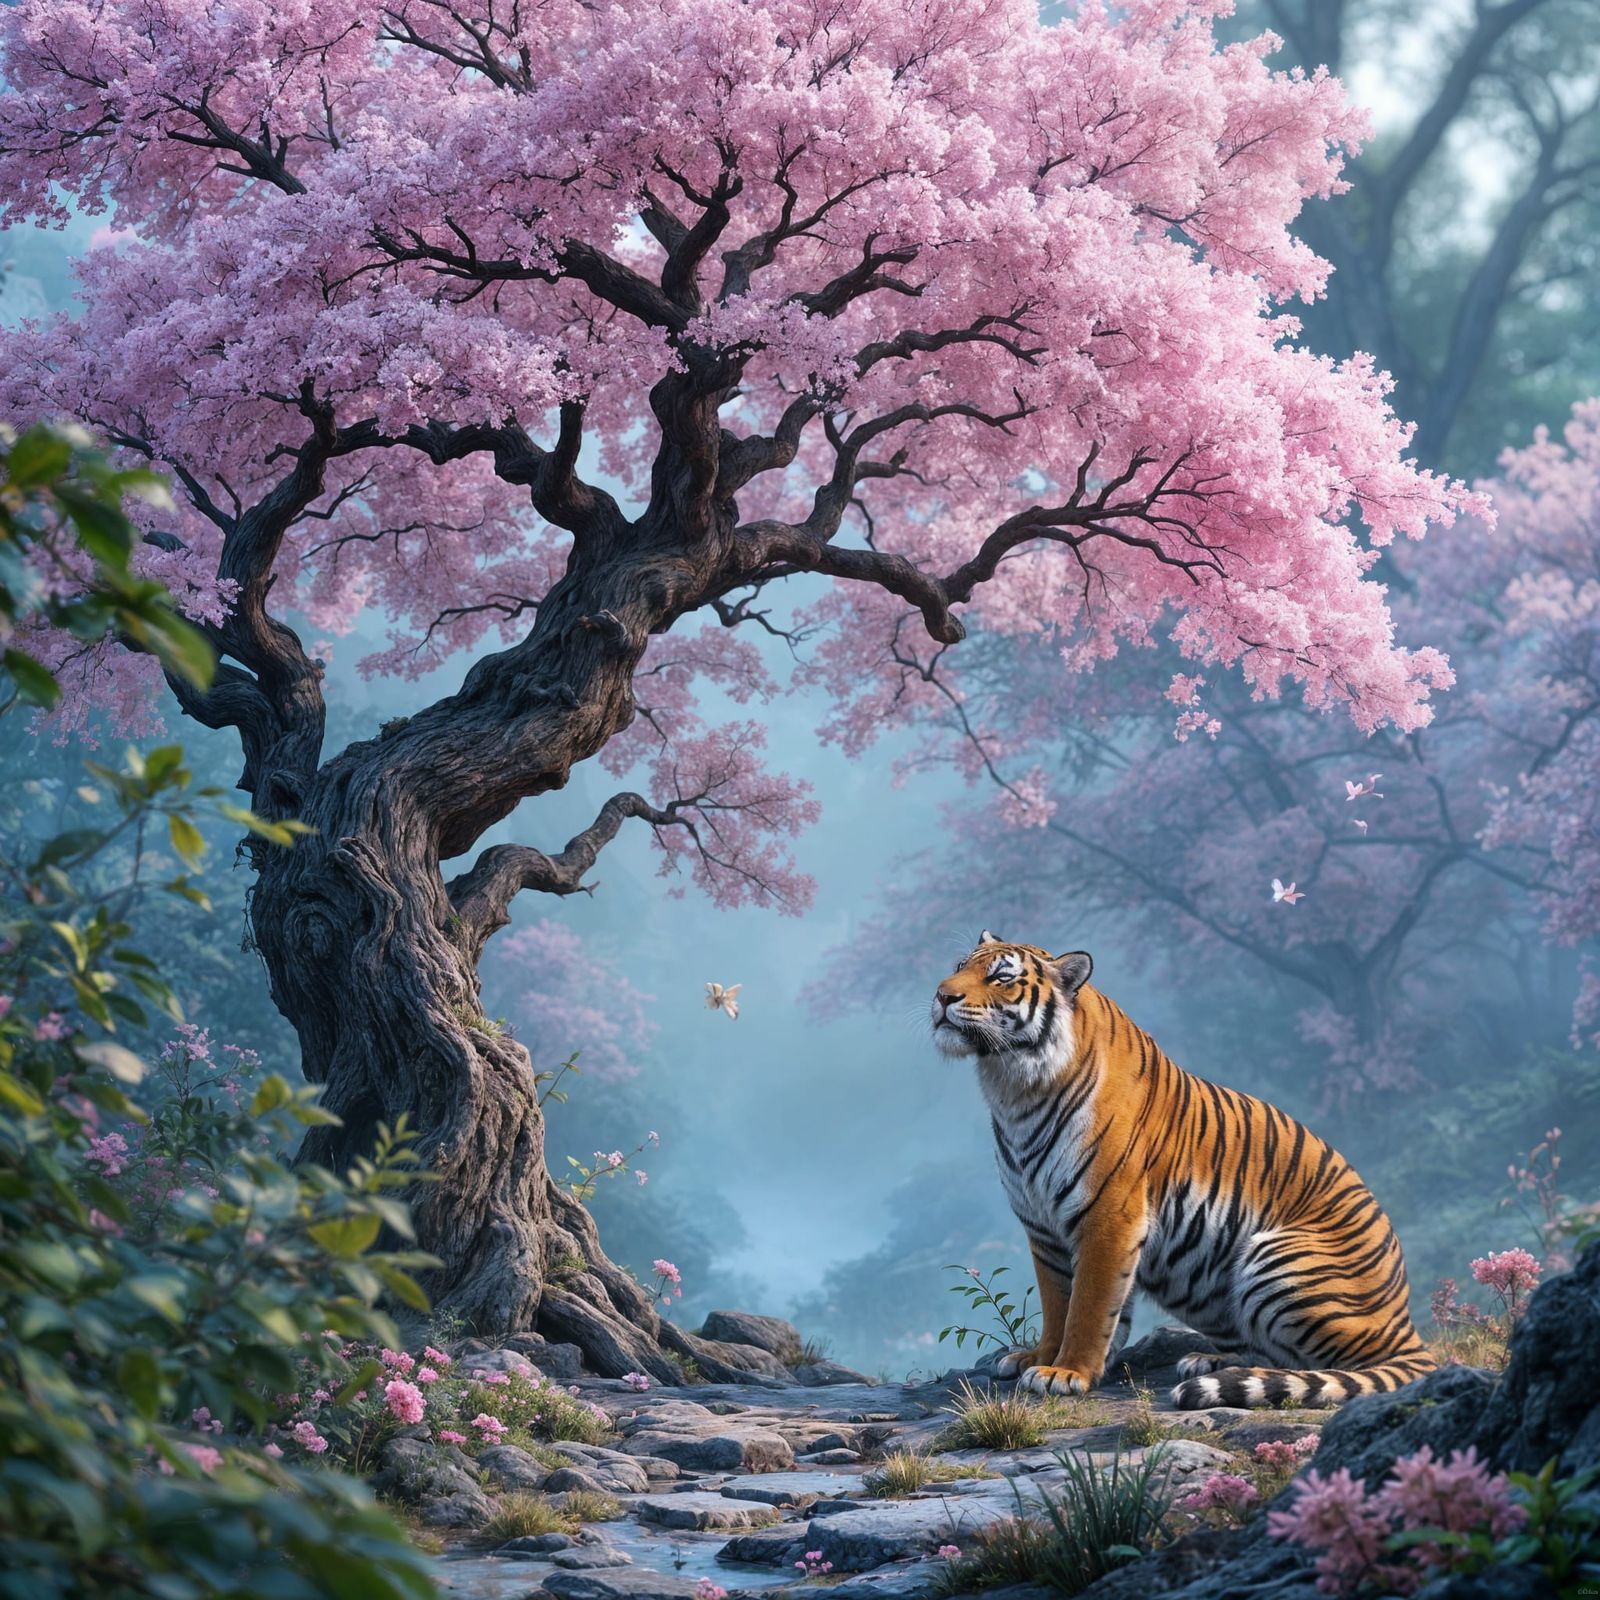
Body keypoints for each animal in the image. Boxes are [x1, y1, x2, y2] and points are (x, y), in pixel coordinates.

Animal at [932, 933, 1435, 1409]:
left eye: (1001, 977)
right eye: (959, 966)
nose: (941, 995)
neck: (1014, 1086)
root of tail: (1407, 1324)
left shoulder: (1109, 1216)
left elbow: (1089, 1305)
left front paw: (1067, 1372)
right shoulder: (1043, 1228)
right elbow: (1058, 1302)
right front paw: (1038, 1358)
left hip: (1276, 1258)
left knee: (1341, 1367)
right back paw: (1209, 1361)